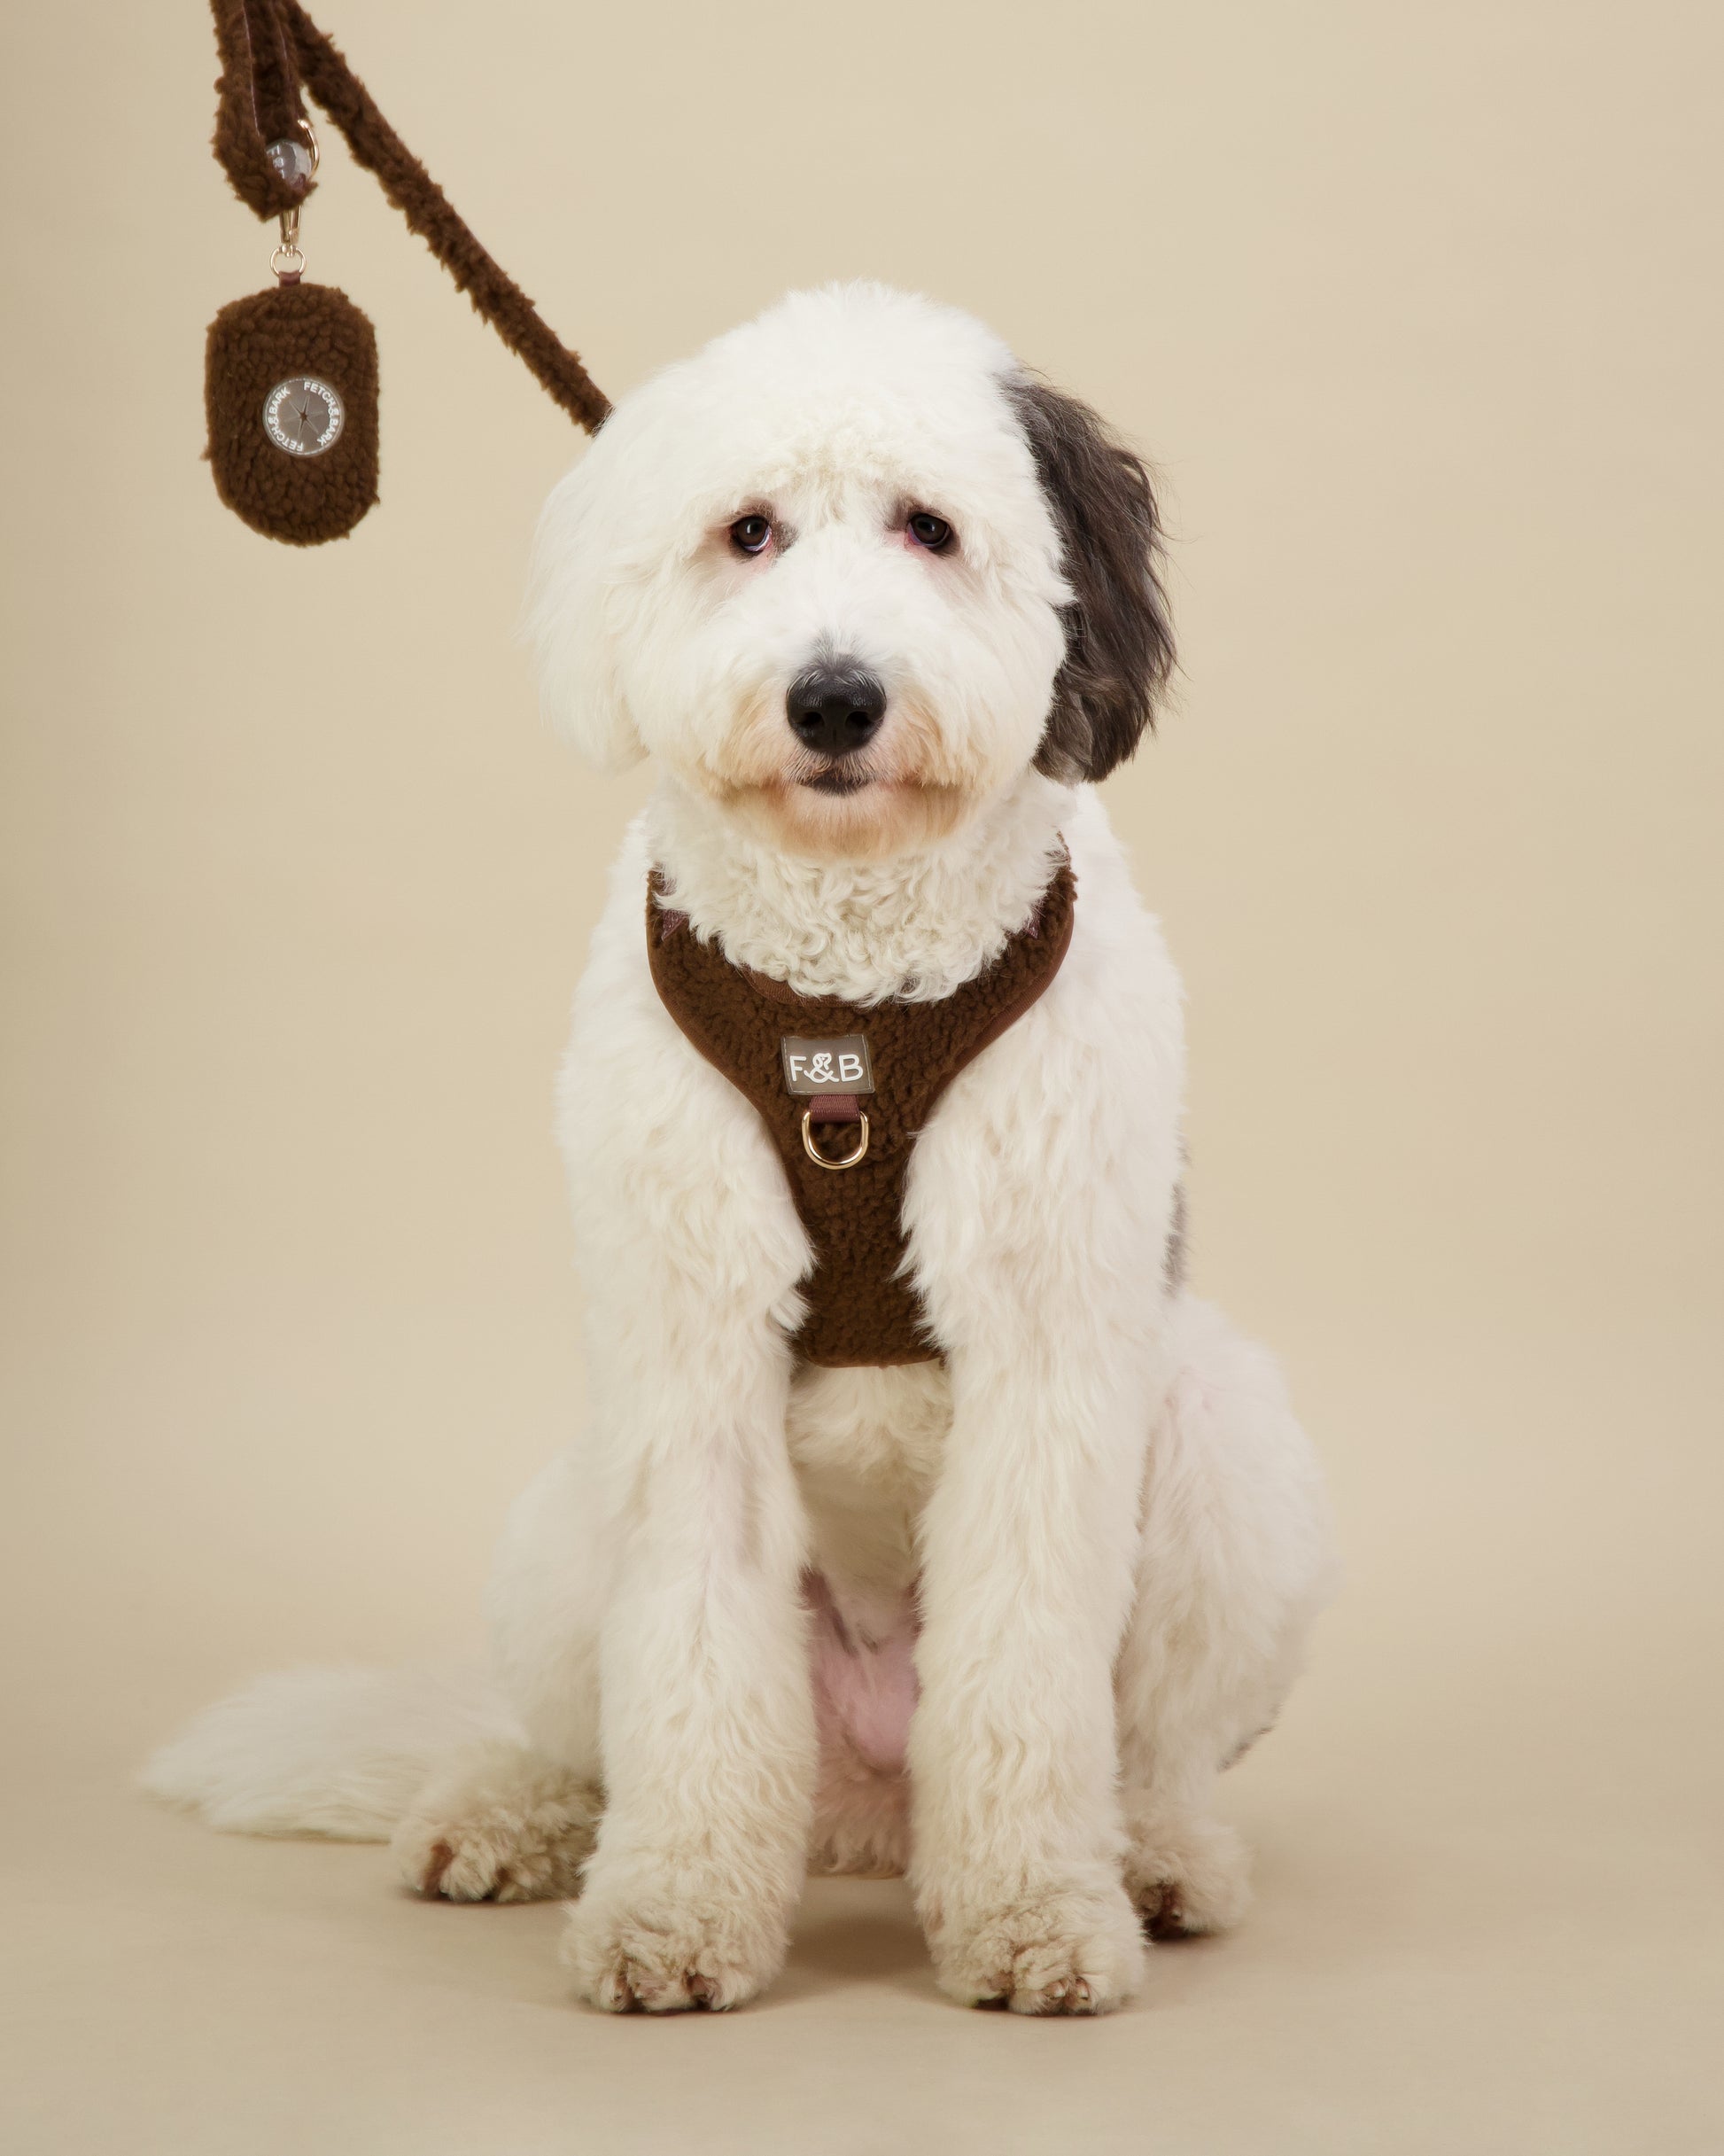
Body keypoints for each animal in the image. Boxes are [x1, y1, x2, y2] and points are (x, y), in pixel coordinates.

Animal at [148, 277, 1336, 2009]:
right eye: (750, 532)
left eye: (929, 526)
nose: (833, 698)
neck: (846, 982)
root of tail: (866, 1807)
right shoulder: (689, 1338)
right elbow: (693, 1672)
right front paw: (674, 1912)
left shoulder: (1046, 1347)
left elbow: (1029, 1669)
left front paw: (1034, 1912)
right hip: (570, 1516)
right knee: (583, 1732)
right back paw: (504, 1816)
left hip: (1217, 1443)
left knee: (1153, 1745)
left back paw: (1153, 1857)